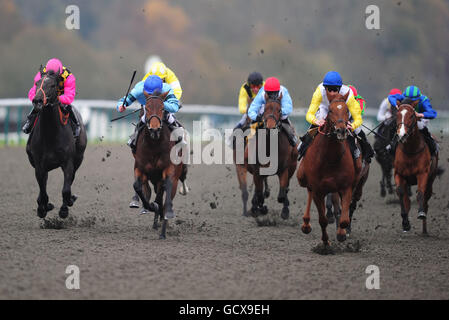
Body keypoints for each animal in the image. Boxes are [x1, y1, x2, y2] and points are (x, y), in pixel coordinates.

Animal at [25, 69, 87, 220]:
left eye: (53, 85)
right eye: (36, 83)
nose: (37, 101)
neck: (50, 134)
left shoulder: (68, 162)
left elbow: (66, 189)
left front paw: (64, 209)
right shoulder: (39, 165)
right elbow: (43, 191)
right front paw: (43, 208)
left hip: (78, 159)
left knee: (70, 181)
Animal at [134, 89, 188, 239]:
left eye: (162, 108)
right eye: (146, 108)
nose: (154, 129)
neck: (154, 145)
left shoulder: (169, 171)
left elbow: (166, 195)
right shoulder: (141, 169)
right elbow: (138, 187)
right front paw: (149, 207)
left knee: (167, 196)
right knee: (157, 196)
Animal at [296, 92, 366, 245]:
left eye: (347, 110)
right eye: (330, 111)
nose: (341, 130)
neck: (330, 157)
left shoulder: (346, 187)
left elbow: (344, 219)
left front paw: (341, 234)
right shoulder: (318, 189)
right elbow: (322, 220)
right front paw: (326, 242)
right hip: (303, 178)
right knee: (309, 191)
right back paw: (306, 224)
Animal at [392, 101, 438, 234]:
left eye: (412, 115)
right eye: (397, 115)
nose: (401, 135)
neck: (411, 150)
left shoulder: (423, 174)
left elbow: (420, 193)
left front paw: (421, 213)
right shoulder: (399, 173)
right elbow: (401, 193)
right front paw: (405, 222)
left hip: (431, 179)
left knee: (426, 198)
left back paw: (424, 230)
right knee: (406, 199)